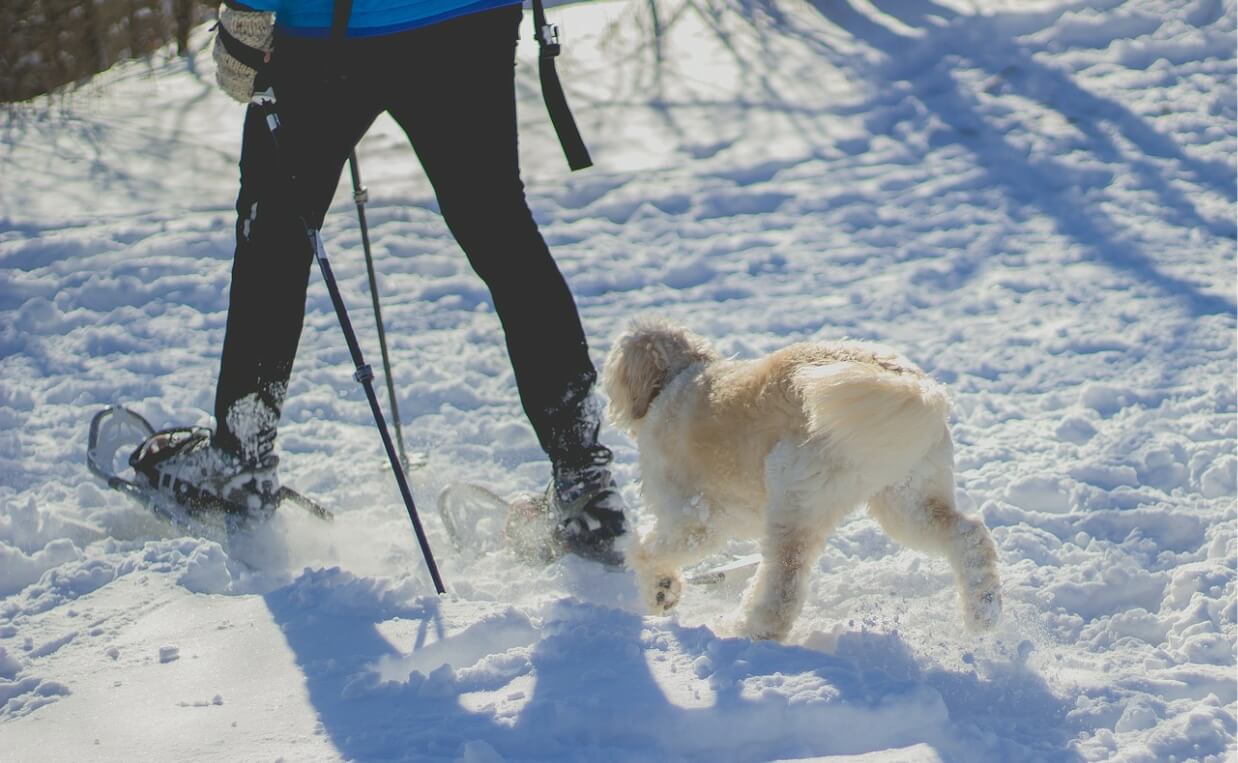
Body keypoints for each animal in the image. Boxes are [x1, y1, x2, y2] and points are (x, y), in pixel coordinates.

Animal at [604, 319, 1000, 639]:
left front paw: (660, 588)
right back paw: (983, 611)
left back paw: (748, 632)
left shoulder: (695, 518)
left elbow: (646, 551)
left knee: (784, 586)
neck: (679, 377)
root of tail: (912, 385)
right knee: (968, 536)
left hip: (794, 500)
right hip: (907, 499)